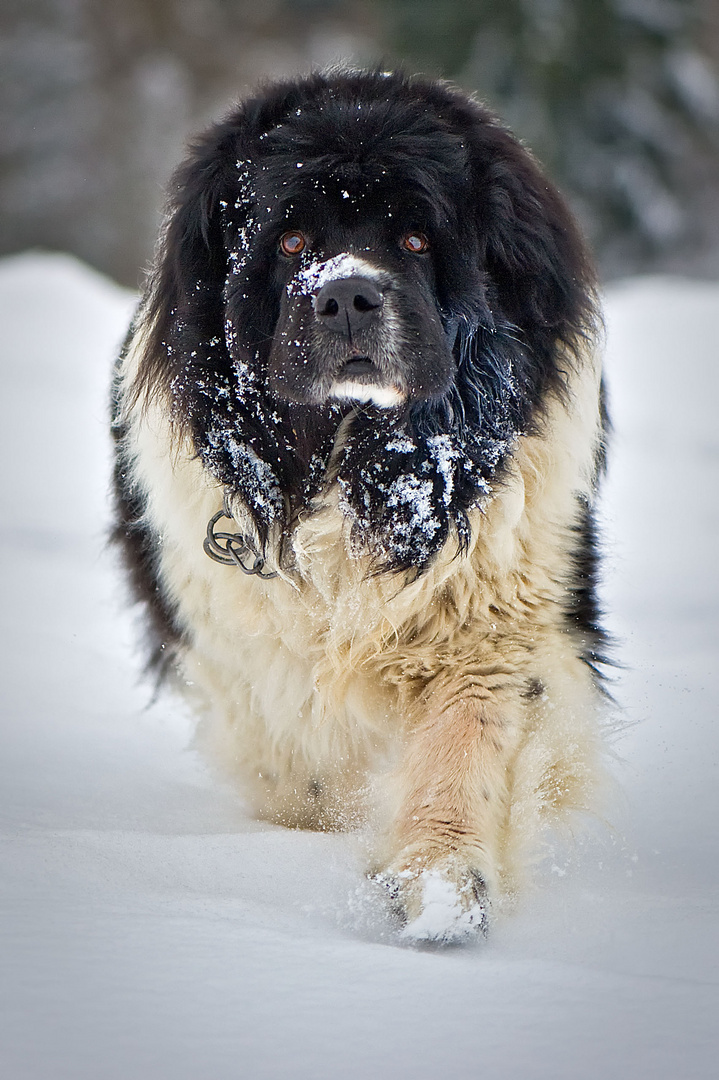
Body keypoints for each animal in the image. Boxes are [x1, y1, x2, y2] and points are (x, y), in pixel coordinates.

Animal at [112, 69, 604, 946]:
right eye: (290, 244)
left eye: (414, 241)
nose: (345, 294)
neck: (353, 457)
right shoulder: (252, 658)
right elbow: (301, 770)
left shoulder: (493, 618)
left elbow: (466, 736)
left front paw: (441, 887)